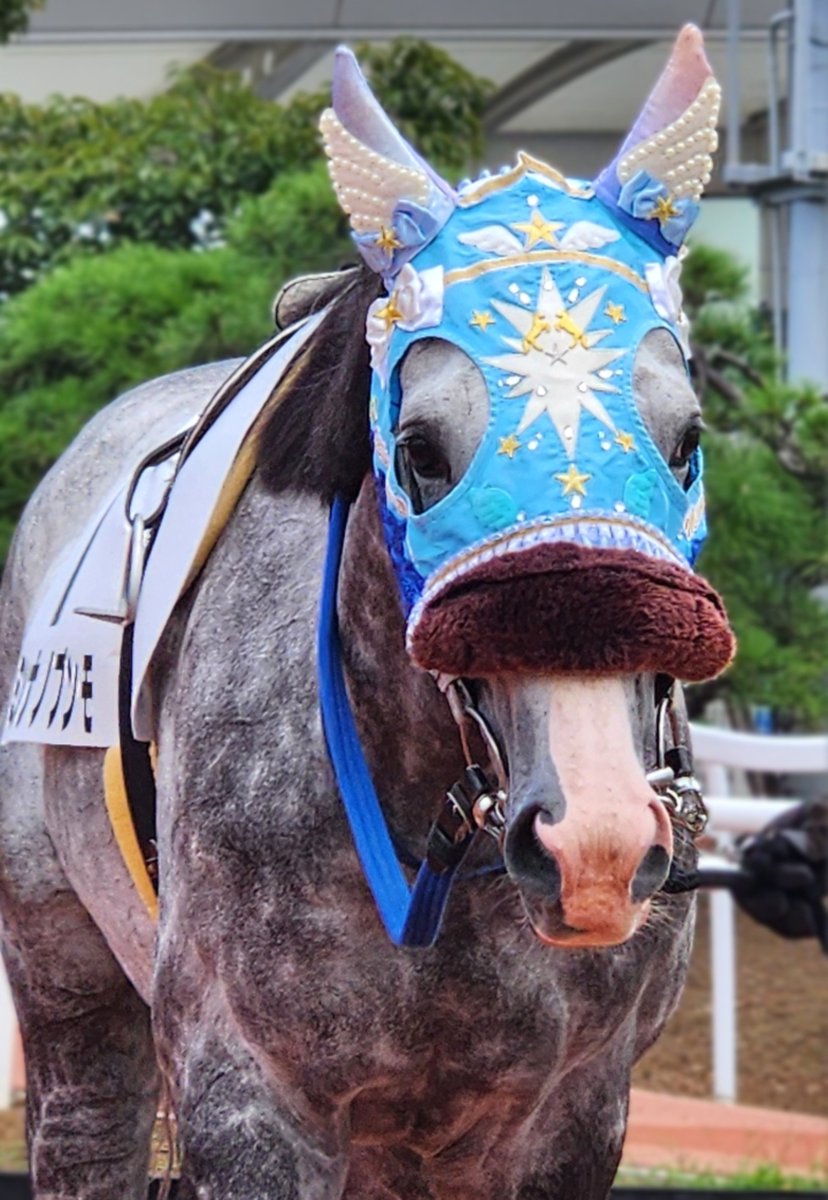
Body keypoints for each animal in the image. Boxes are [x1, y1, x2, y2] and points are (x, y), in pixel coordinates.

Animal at [0, 25, 734, 1200]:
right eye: (422, 451)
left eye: (686, 439)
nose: (597, 838)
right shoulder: (246, 1093)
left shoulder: (571, 1109)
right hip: (64, 975)